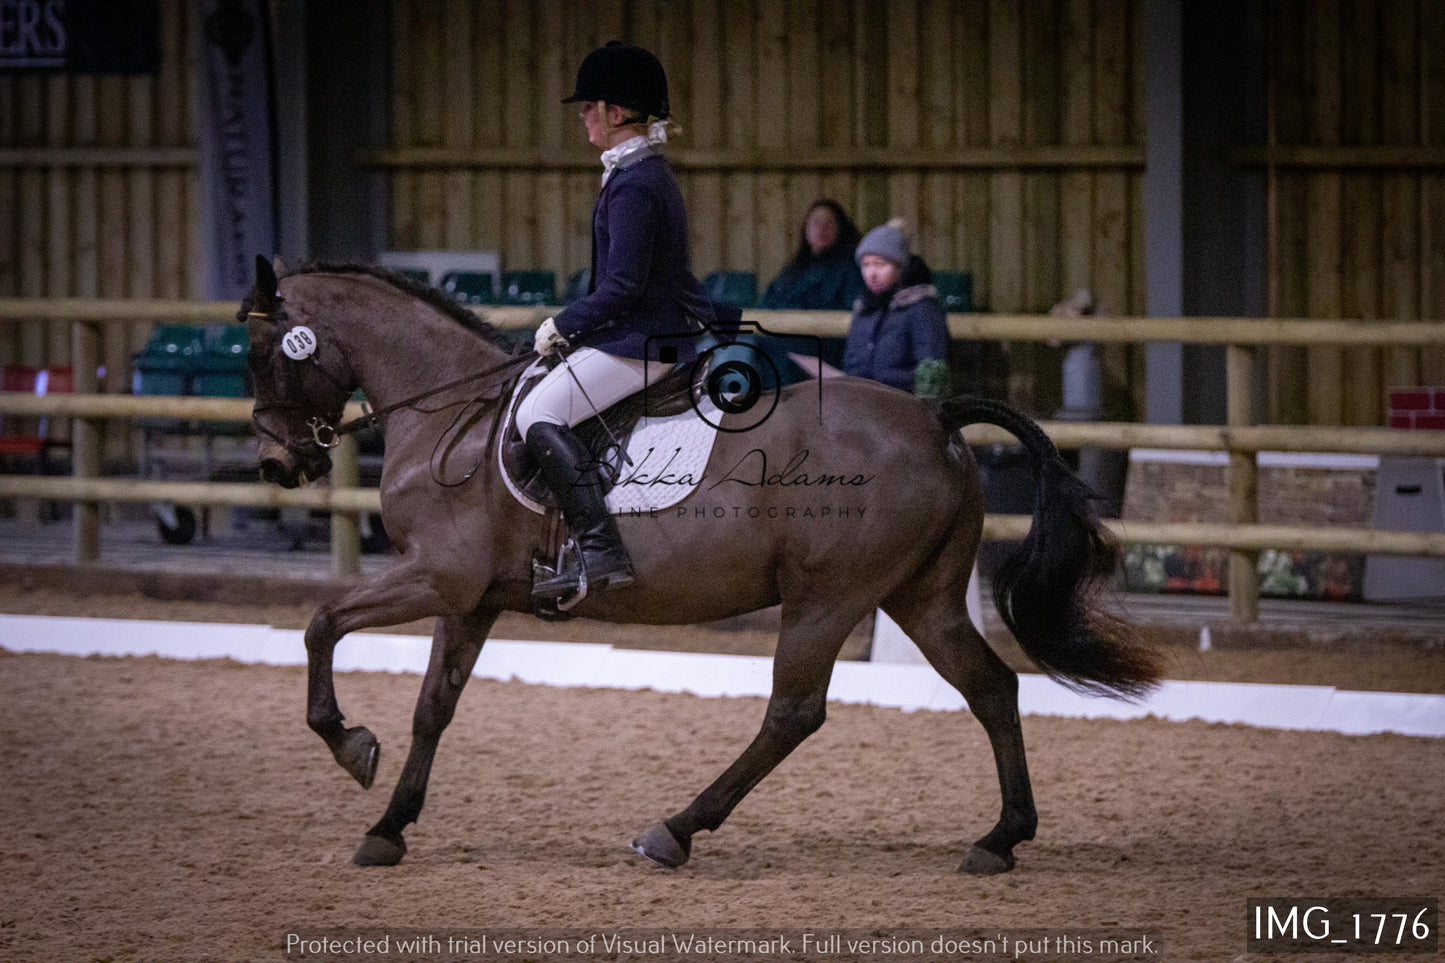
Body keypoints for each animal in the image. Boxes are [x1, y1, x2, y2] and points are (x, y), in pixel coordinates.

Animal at [239, 258, 1161, 873]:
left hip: (828, 596)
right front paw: (388, 825)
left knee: (794, 712)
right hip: (919, 594)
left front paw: (350, 744)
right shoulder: (470, 599)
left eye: (261, 354)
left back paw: (673, 829)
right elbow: (434, 705)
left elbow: (322, 623)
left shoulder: (437, 576)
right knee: (991, 688)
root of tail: (934, 415)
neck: (449, 415)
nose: (278, 465)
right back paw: (999, 838)